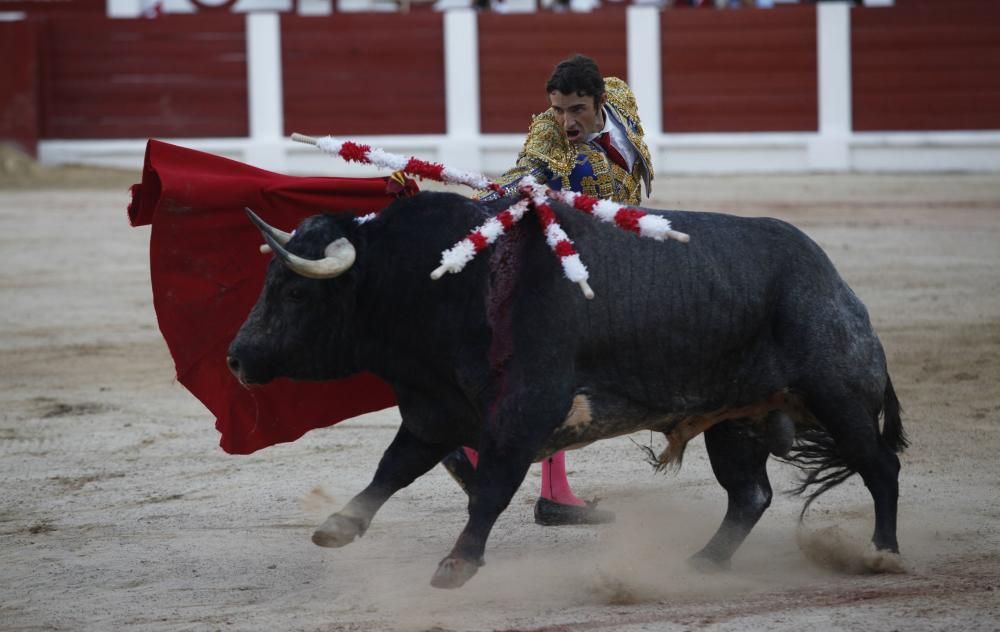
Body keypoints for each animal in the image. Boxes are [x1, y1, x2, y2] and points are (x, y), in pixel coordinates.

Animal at [225, 190, 908, 592]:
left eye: (295, 291)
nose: (236, 357)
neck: (445, 281)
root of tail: (835, 285)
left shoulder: (523, 411)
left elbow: (491, 488)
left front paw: (457, 564)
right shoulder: (434, 411)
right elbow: (393, 468)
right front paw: (338, 527)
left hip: (838, 398)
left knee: (879, 466)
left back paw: (883, 554)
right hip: (732, 420)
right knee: (751, 494)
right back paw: (703, 563)